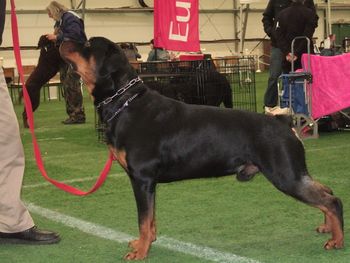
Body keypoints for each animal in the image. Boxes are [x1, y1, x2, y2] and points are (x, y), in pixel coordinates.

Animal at [58, 36, 344, 260]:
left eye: (87, 44)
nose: (61, 39)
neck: (126, 103)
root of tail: (284, 122)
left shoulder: (141, 178)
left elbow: (143, 220)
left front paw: (140, 251)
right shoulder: (149, 183)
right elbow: (151, 220)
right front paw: (145, 243)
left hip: (285, 174)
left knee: (332, 200)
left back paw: (337, 240)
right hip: (293, 172)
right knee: (327, 191)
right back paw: (327, 228)